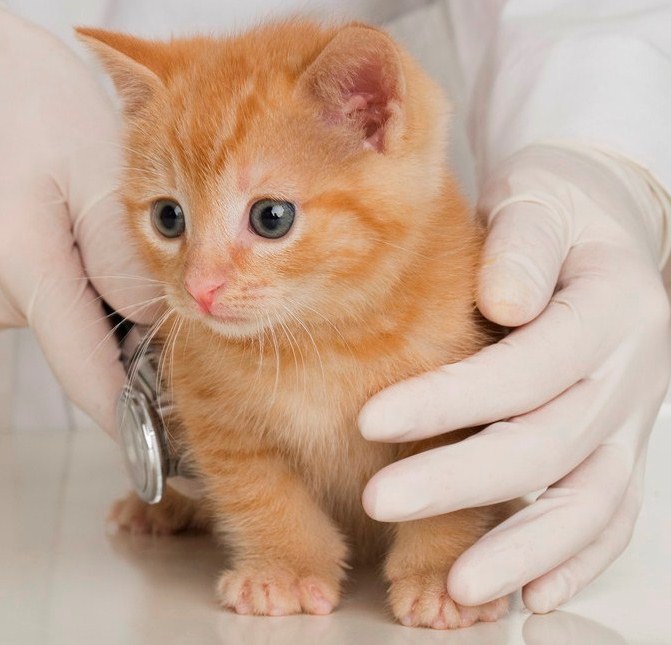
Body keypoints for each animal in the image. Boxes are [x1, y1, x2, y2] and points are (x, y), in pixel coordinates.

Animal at [80, 21, 520, 628]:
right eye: (168, 217)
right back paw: (161, 508)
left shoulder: (453, 400)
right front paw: (283, 571)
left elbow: (452, 486)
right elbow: (261, 493)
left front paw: (440, 577)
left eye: (272, 217)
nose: (198, 288)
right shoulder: (214, 415)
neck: (319, 338)